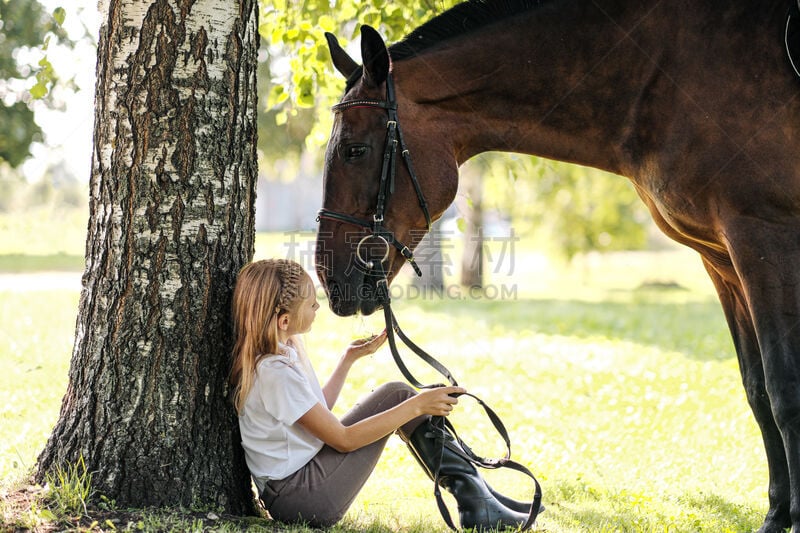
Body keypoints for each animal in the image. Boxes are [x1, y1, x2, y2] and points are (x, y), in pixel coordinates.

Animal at [314, 2, 800, 528]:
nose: (328, 277)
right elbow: (758, 390)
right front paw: (777, 515)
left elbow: (784, 387)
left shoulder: (764, 238)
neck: (667, 71)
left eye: (355, 150)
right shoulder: (722, 260)